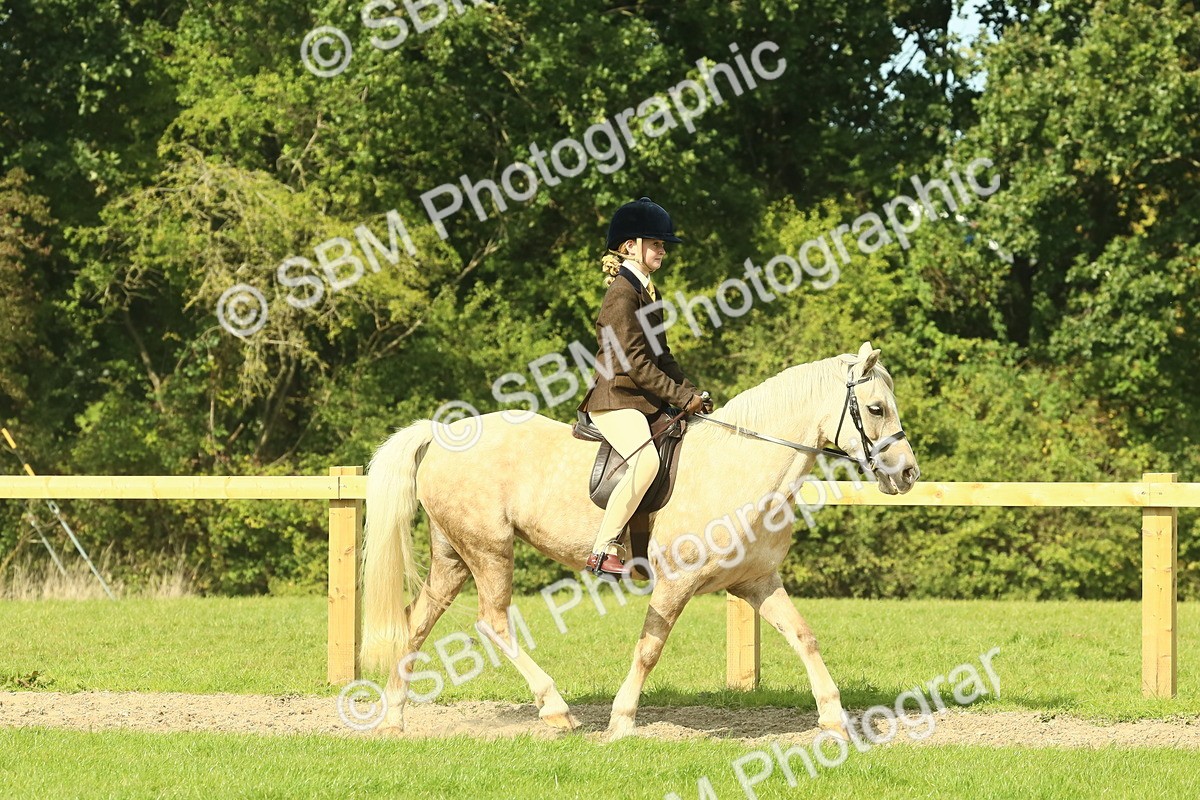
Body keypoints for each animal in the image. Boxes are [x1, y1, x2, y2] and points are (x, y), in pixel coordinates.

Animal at [361, 341, 919, 739]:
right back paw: (557, 711)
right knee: (492, 622)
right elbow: (650, 648)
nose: (908, 473)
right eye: (875, 409)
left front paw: (834, 717)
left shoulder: (757, 582)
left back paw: (393, 719)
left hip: (453, 556)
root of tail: (441, 434)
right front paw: (622, 720)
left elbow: (804, 636)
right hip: (489, 549)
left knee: (417, 621)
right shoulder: (676, 583)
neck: (742, 463)